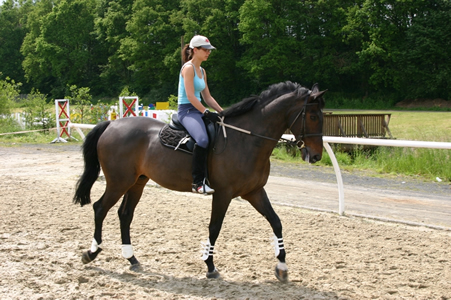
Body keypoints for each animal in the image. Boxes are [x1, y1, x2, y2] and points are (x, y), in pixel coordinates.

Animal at [75, 81, 328, 282]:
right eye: (313, 116)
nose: (316, 156)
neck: (246, 139)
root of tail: (112, 124)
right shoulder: (223, 193)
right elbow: (214, 227)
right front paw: (210, 265)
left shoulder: (255, 192)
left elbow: (276, 222)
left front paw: (282, 266)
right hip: (119, 182)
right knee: (100, 208)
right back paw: (91, 252)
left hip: (137, 182)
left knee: (125, 214)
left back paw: (132, 258)